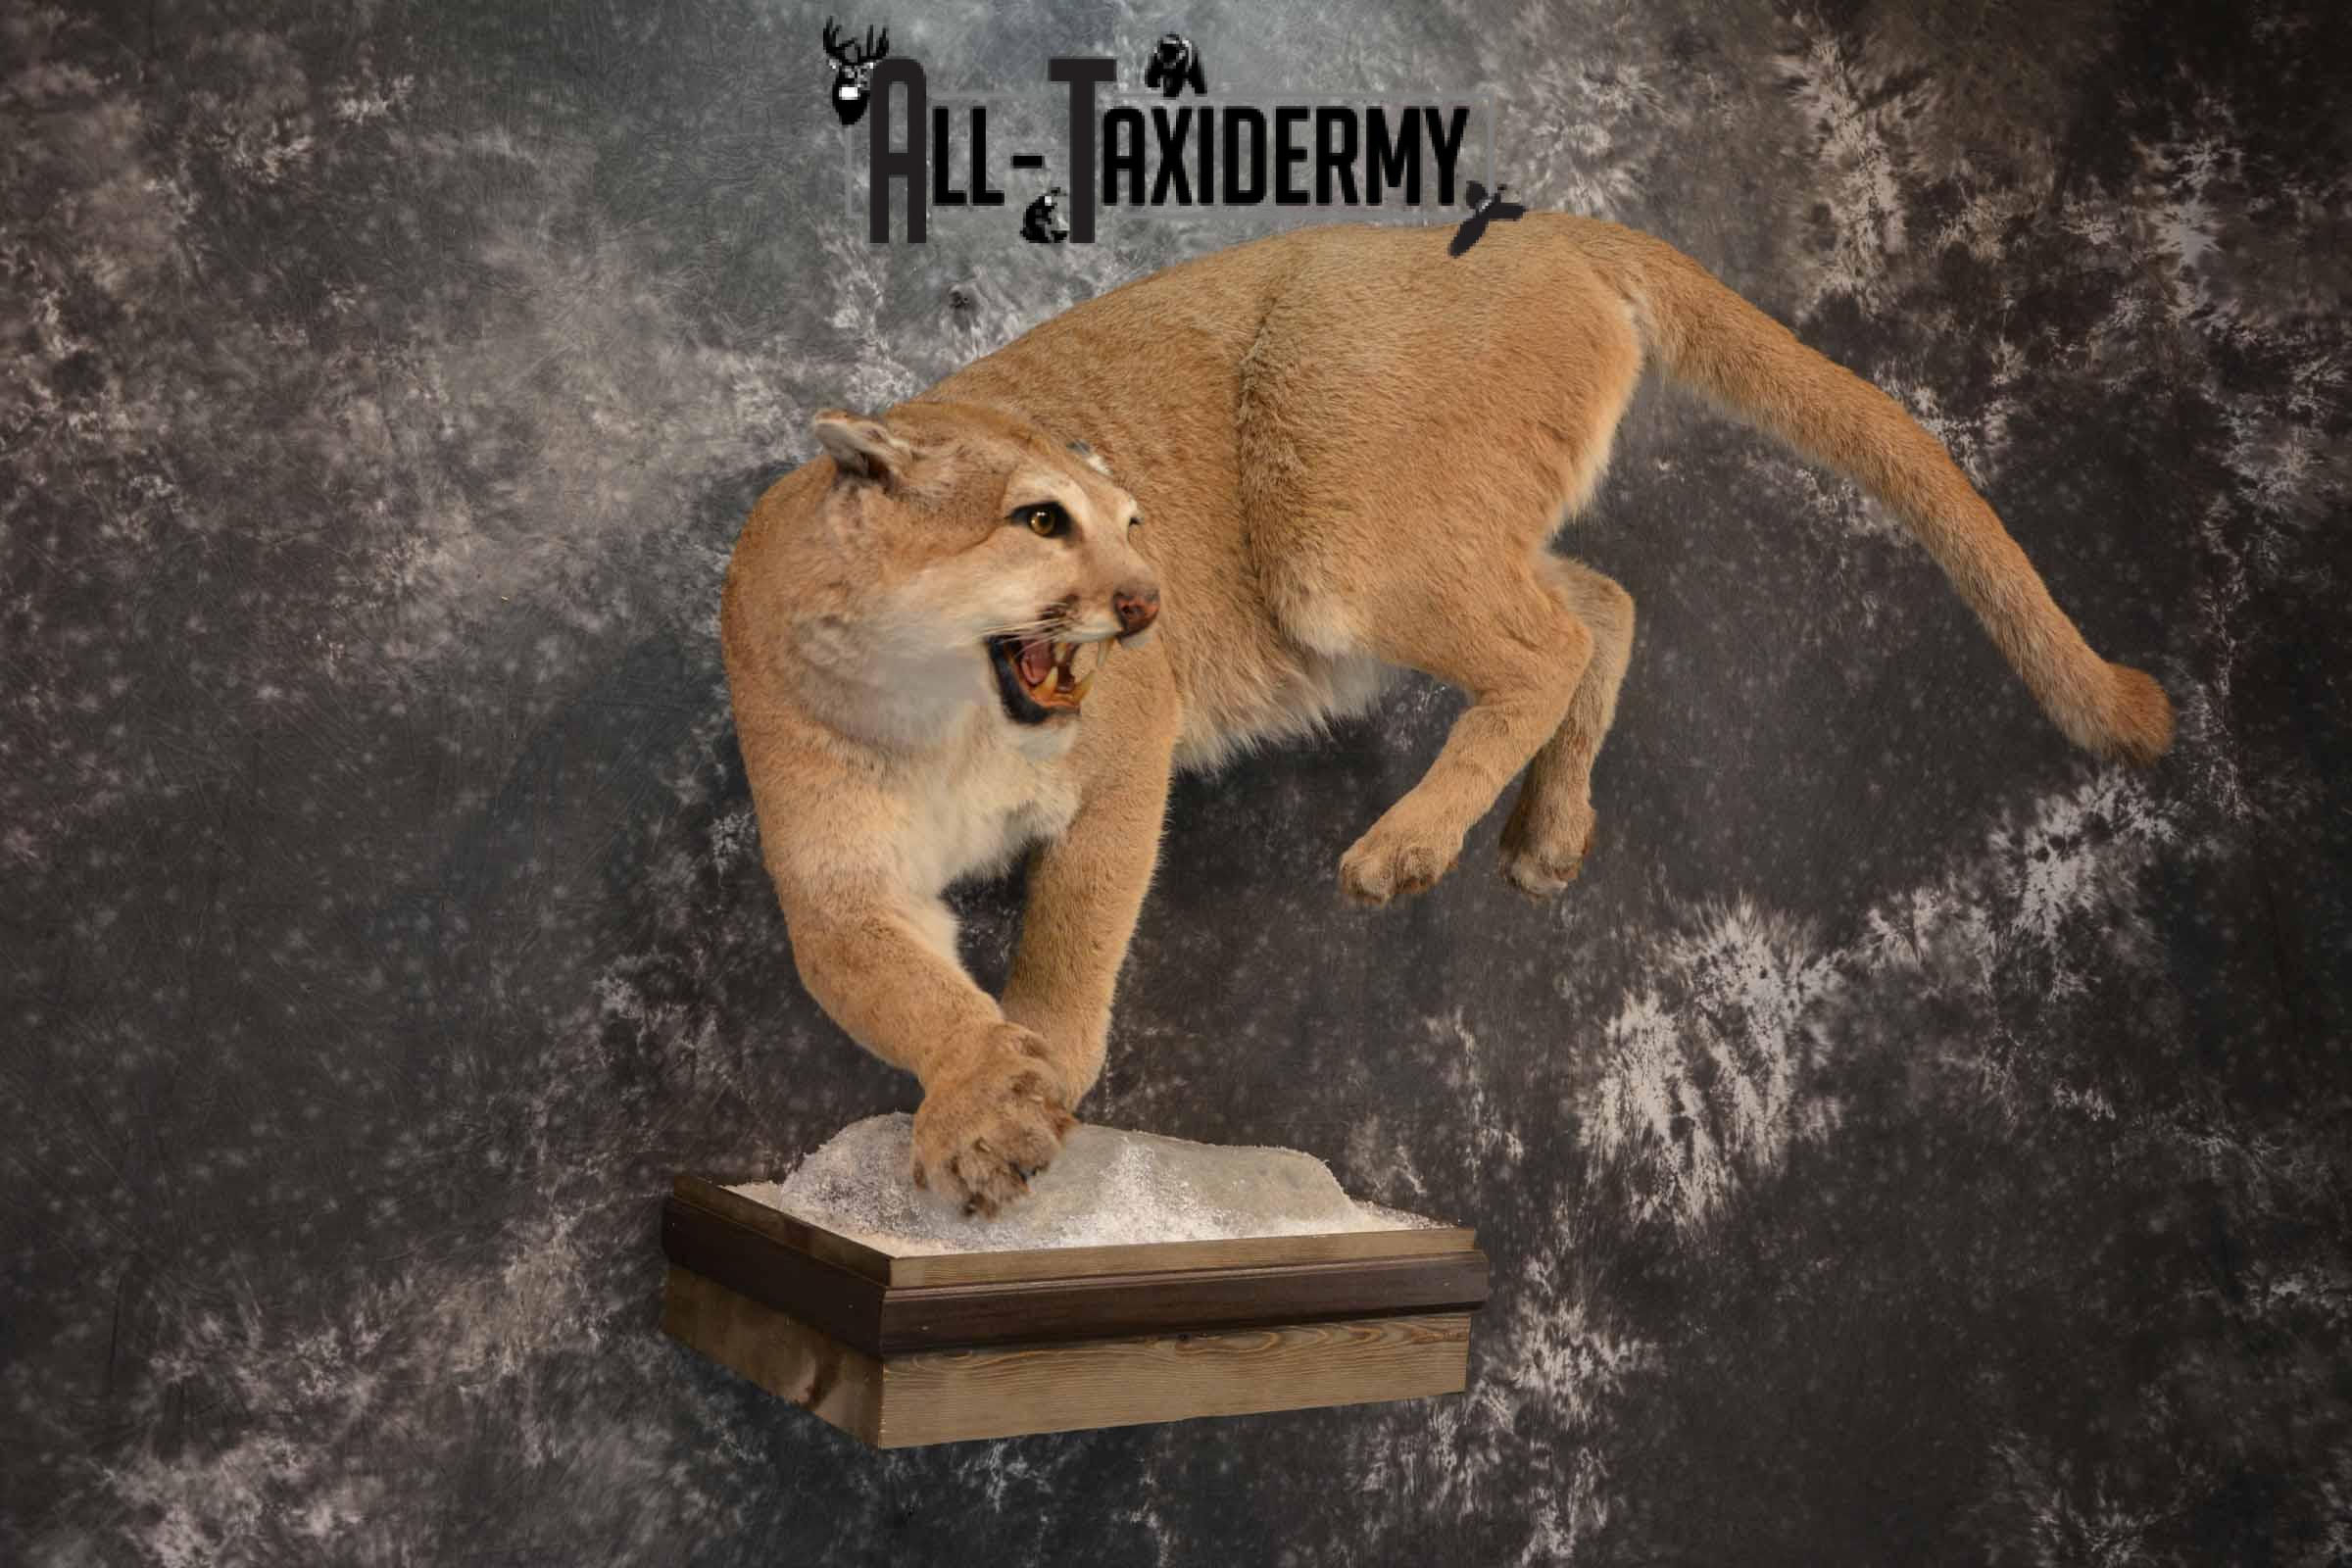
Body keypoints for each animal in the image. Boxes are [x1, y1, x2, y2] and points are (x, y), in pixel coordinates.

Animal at [719, 214, 2174, 1216]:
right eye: (1038, 520)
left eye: (1132, 520)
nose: (1148, 599)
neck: (940, 713)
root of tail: (1539, 224)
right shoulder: (839, 883)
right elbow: (902, 994)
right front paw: (980, 1101)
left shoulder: (1124, 756)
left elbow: (1070, 937)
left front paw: (1042, 1081)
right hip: (1430, 538)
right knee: (1600, 601)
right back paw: (1549, 831)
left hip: (1342, 532)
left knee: (1548, 640)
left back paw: (1409, 848)